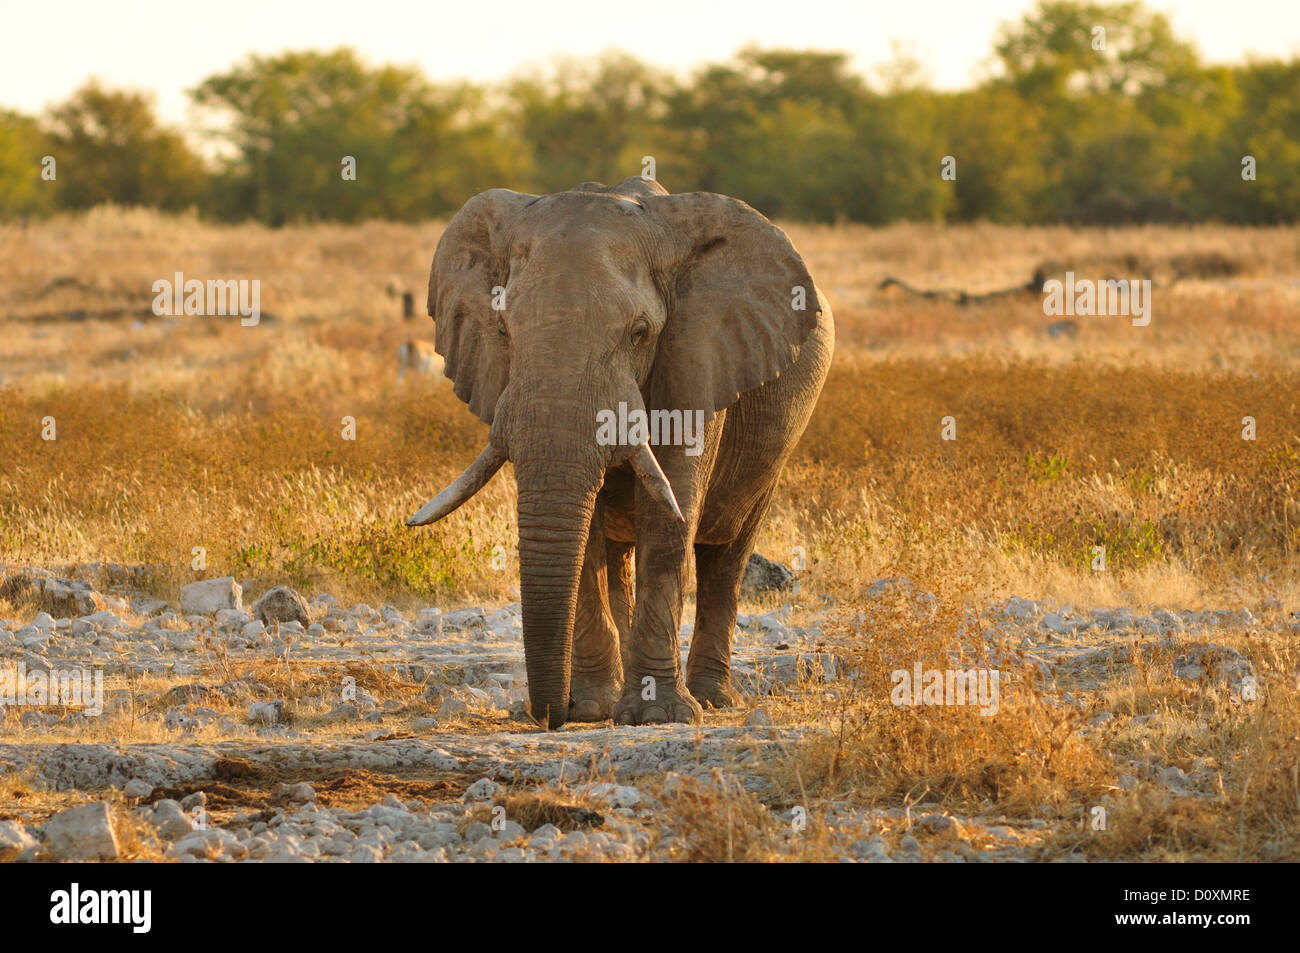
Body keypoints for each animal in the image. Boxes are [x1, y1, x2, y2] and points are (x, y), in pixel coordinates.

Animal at [407, 176, 834, 729]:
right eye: (503, 331)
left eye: (640, 333)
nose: (549, 714)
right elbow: (586, 536)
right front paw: (593, 709)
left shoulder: (695, 359)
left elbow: (669, 518)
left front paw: (660, 716)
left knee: (727, 553)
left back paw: (713, 699)